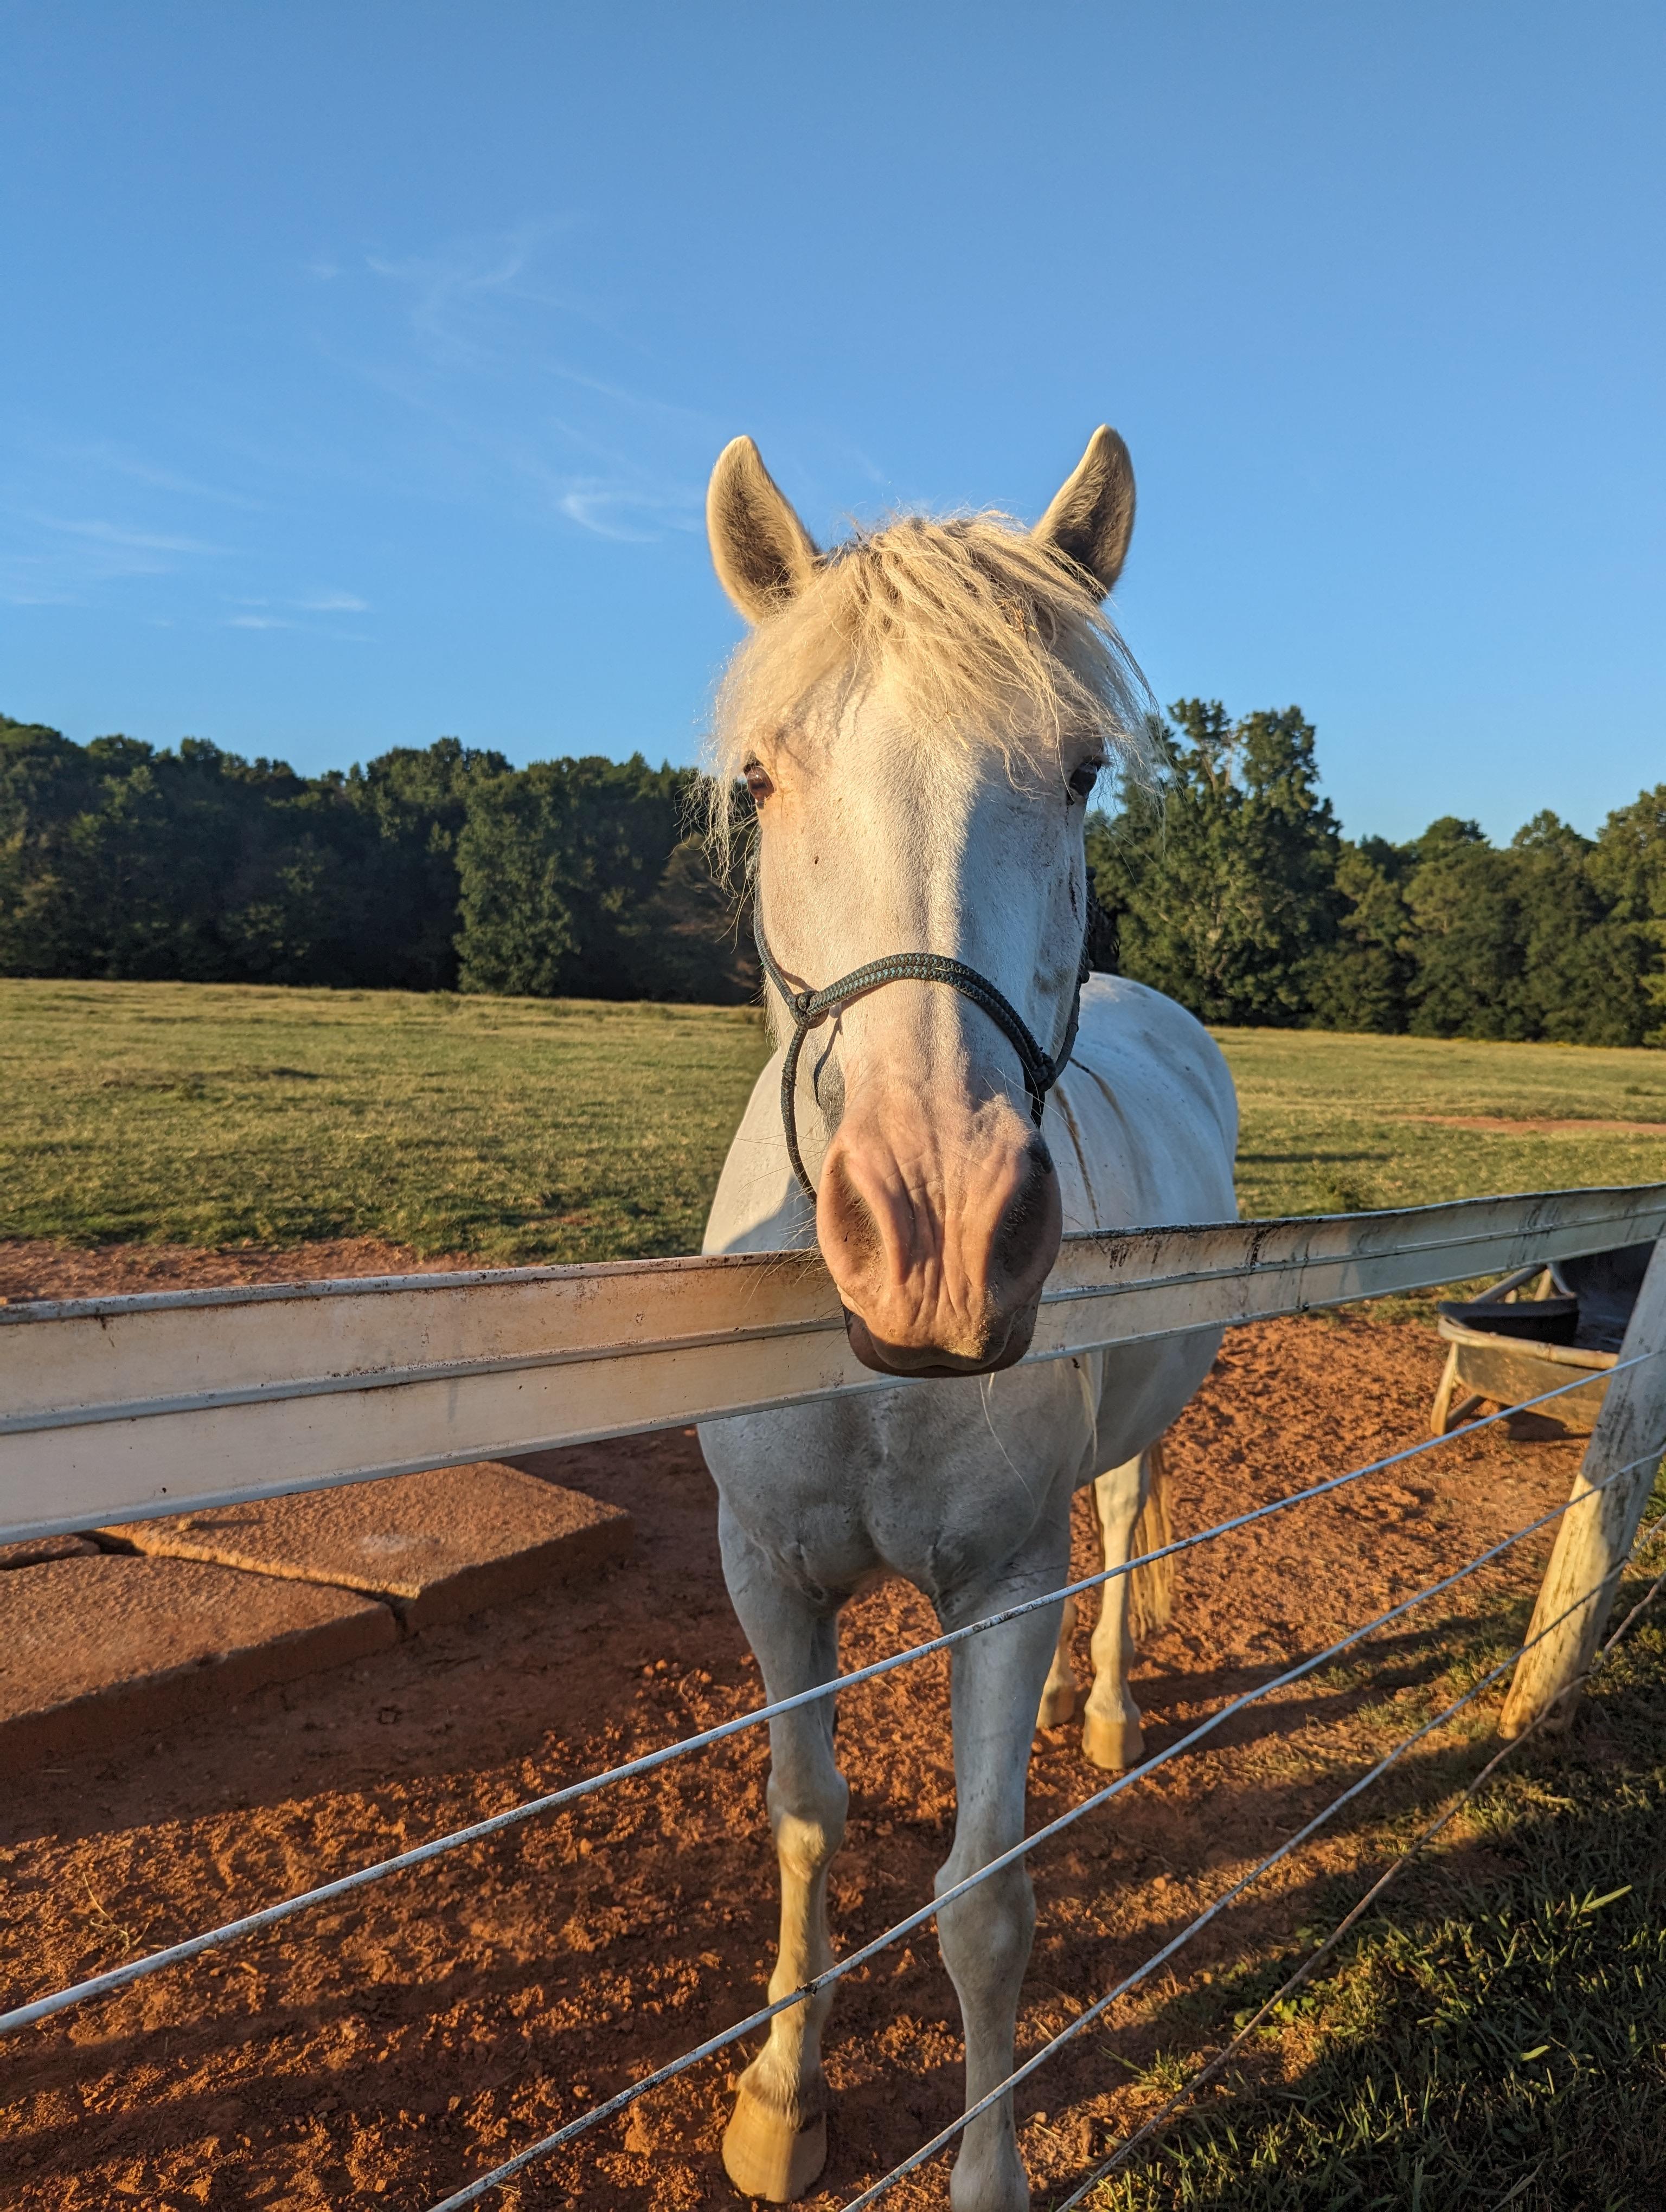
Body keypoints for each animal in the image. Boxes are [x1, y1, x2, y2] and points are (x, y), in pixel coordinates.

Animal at [690, 422, 1239, 2203]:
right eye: (760, 778)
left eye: (1076, 773)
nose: (931, 1238)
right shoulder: (765, 1573)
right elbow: (805, 1817)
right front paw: (778, 2100)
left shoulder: (1003, 1588)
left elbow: (981, 1907)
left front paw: (982, 2168)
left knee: (1126, 1521)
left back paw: (1109, 1708)